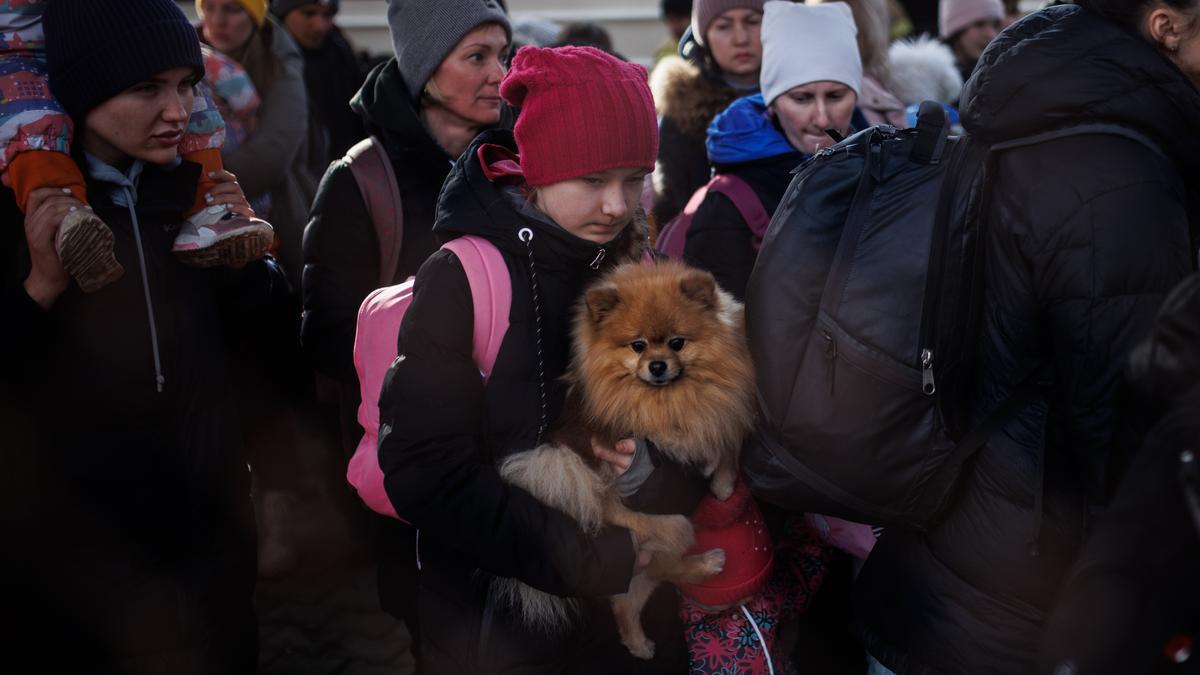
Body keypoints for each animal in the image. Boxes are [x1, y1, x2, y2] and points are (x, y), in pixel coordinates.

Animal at [492, 257, 753, 658]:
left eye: (677, 343)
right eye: (637, 345)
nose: (657, 365)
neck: (671, 395)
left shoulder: (724, 399)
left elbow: (728, 436)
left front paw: (723, 481)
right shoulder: (663, 427)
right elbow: (704, 437)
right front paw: (713, 470)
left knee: (629, 597)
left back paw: (638, 643)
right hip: (667, 523)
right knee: (664, 568)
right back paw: (707, 564)